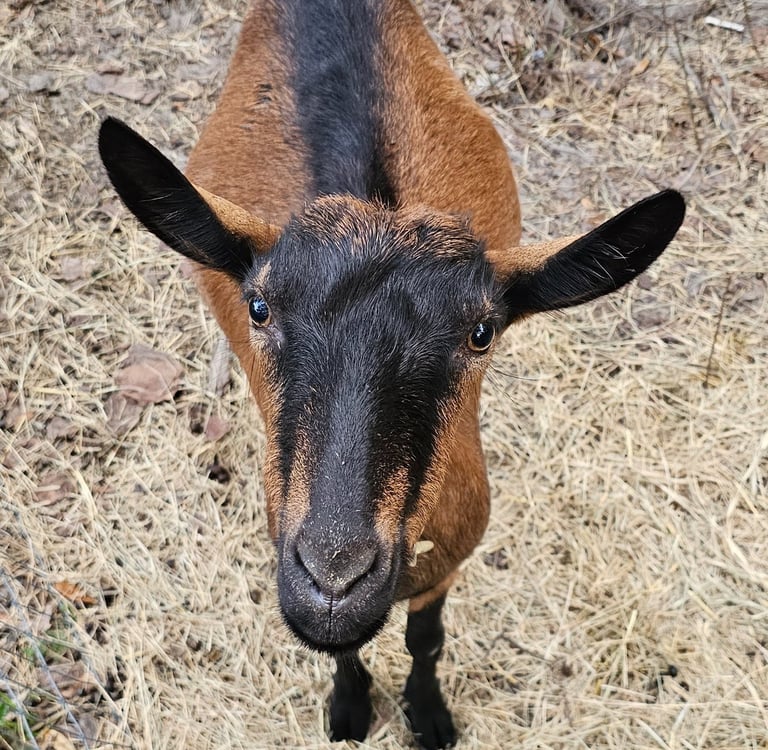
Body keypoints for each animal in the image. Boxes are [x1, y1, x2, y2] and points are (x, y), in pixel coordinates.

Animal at [98, 1, 685, 747]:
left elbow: (424, 640)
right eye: (259, 305)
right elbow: (348, 650)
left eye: (481, 332)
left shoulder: (451, 557)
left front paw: (429, 717)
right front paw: (350, 711)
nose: (334, 579)